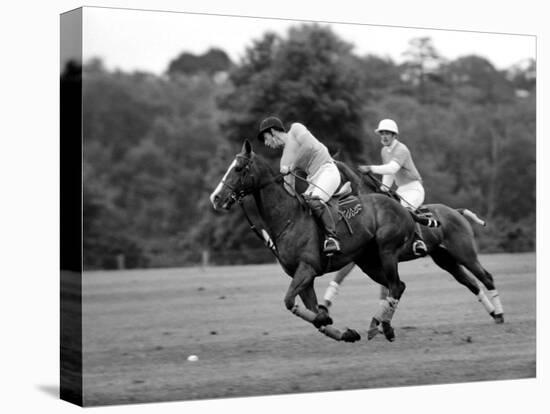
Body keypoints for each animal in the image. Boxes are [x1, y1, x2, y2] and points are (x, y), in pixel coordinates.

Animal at [211, 141, 426, 342]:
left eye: (239, 168)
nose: (216, 198)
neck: (288, 218)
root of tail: (403, 208)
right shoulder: (302, 277)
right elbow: (312, 313)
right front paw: (345, 333)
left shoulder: (307, 268)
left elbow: (290, 302)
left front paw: (326, 317)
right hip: (369, 262)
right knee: (397, 286)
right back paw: (378, 326)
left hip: (387, 251)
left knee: (395, 285)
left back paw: (384, 327)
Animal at [324, 163, 508, 332]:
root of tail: (456, 211)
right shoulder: (365, 258)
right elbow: (348, 278)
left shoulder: (380, 256)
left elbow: (388, 286)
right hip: (445, 260)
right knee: (471, 283)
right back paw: (493, 313)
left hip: (465, 253)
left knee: (486, 277)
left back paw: (499, 314)